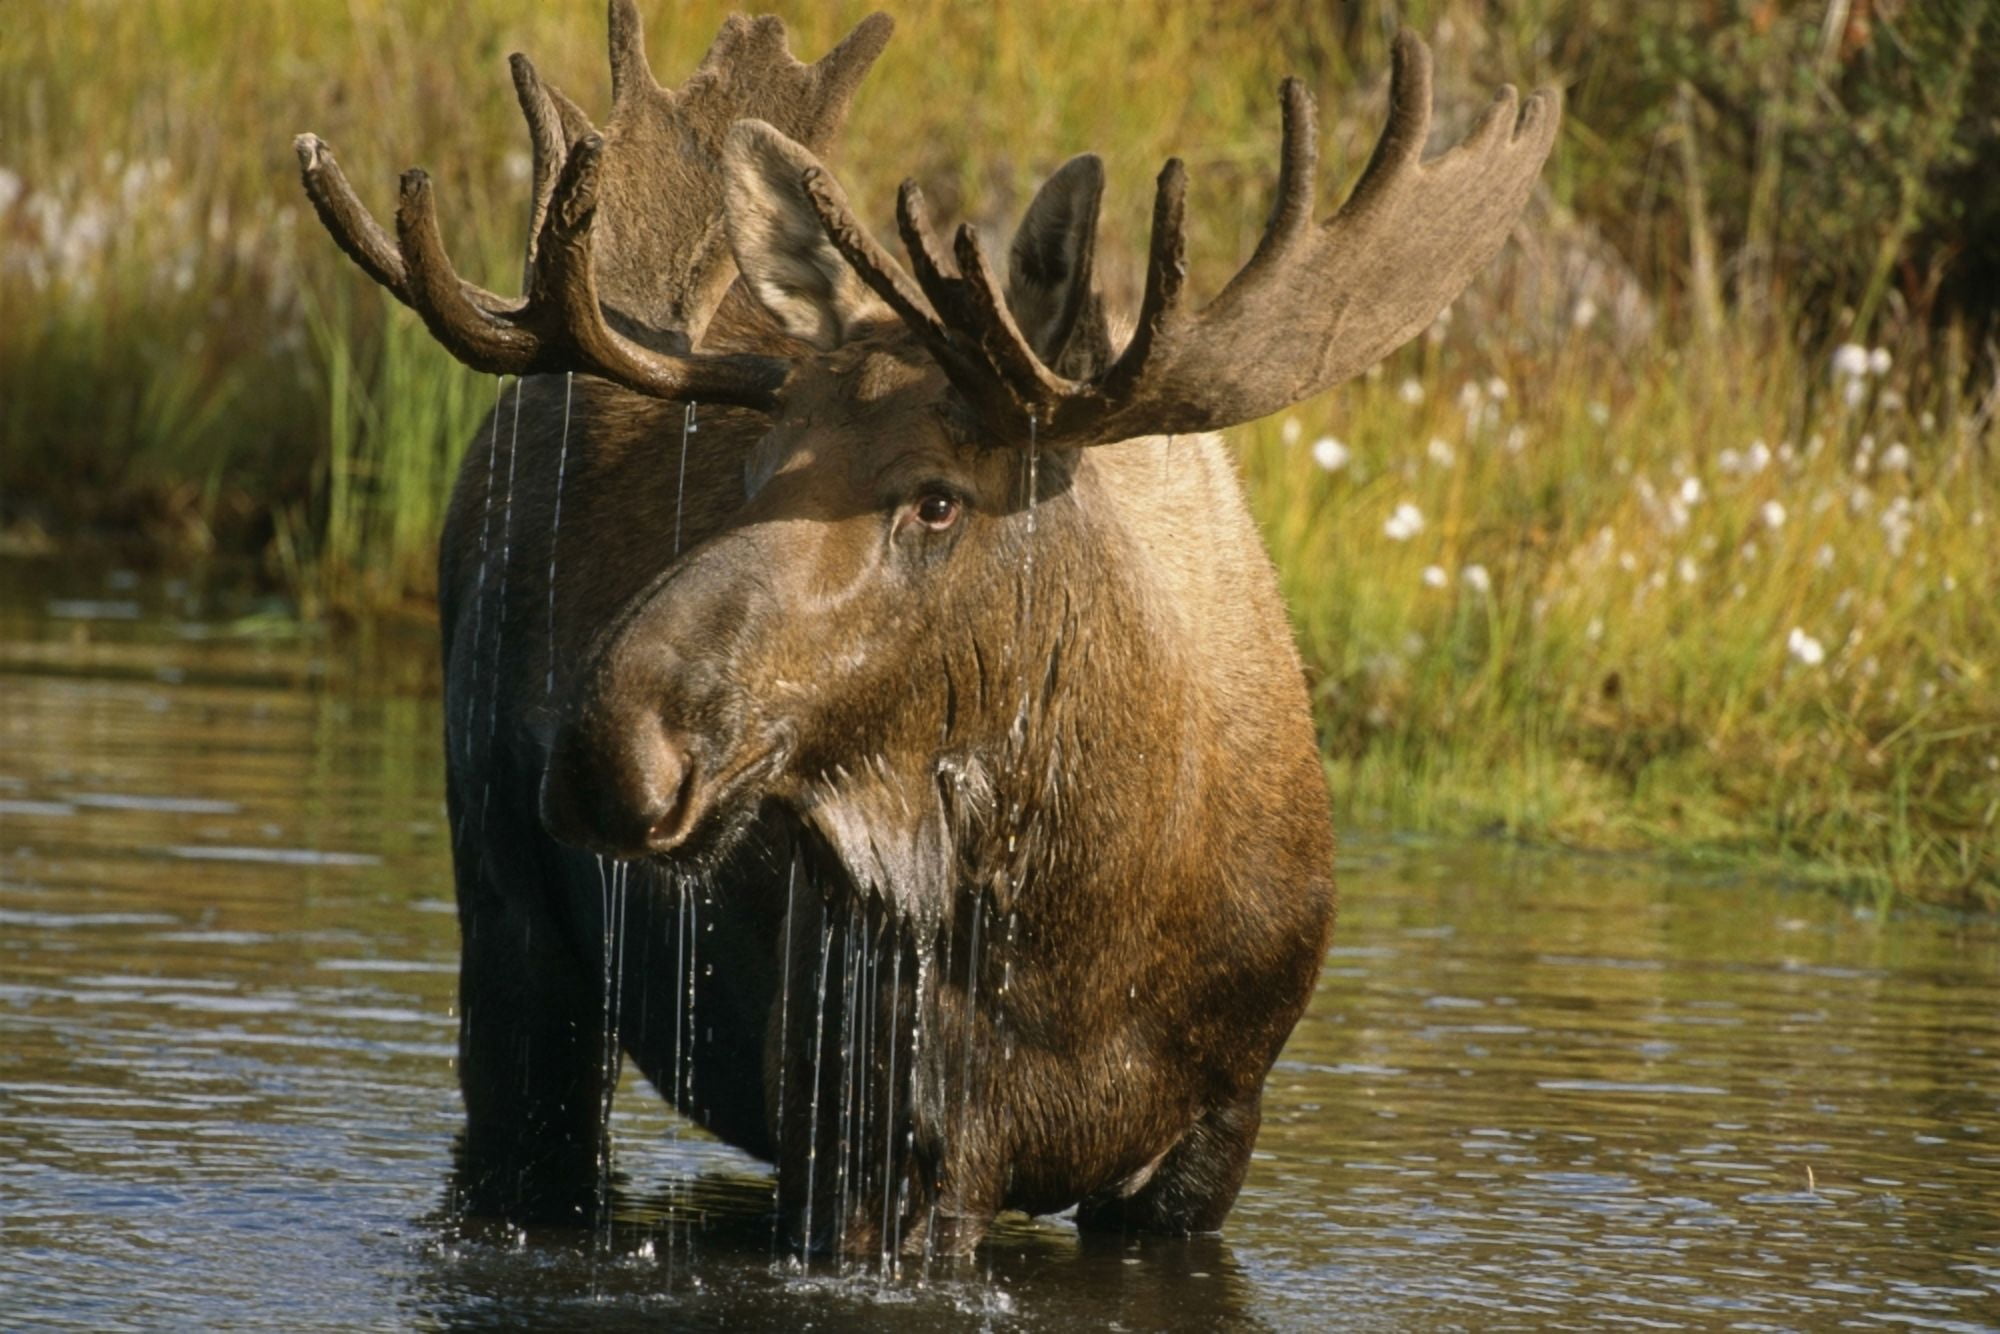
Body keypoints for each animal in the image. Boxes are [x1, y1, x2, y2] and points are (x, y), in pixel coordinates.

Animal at [295, 2, 1558, 1258]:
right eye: (749, 465)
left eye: (937, 498)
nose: (612, 747)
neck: (1091, 935)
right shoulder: (867, 1115)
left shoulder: (1210, 1135)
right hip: (511, 921)